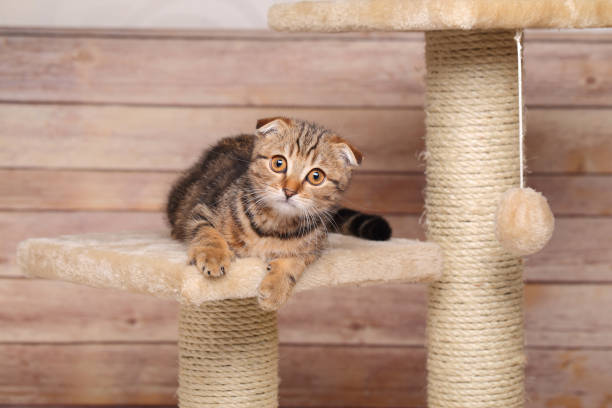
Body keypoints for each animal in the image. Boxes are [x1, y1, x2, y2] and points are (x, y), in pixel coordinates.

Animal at [165, 117, 390, 310]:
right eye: (278, 163)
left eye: (316, 176)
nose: (289, 191)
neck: (274, 226)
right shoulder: (202, 209)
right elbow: (206, 232)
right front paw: (214, 256)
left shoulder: (316, 244)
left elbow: (296, 260)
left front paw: (276, 288)